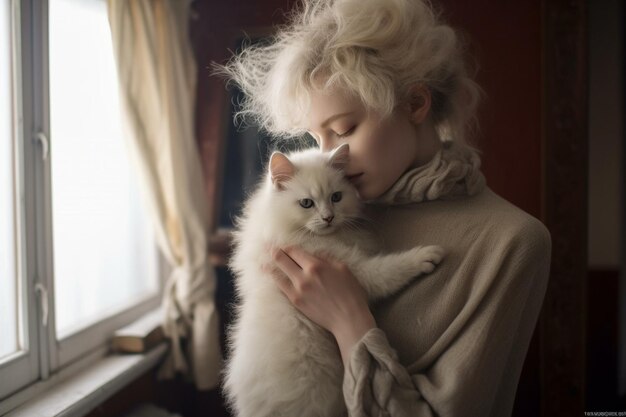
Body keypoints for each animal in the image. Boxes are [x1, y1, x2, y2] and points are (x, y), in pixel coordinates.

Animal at [222, 144, 442, 416]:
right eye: (307, 203)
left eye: (336, 197)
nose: (328, 217)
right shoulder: (359, 272)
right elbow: (390, 269)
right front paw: (426, 256)